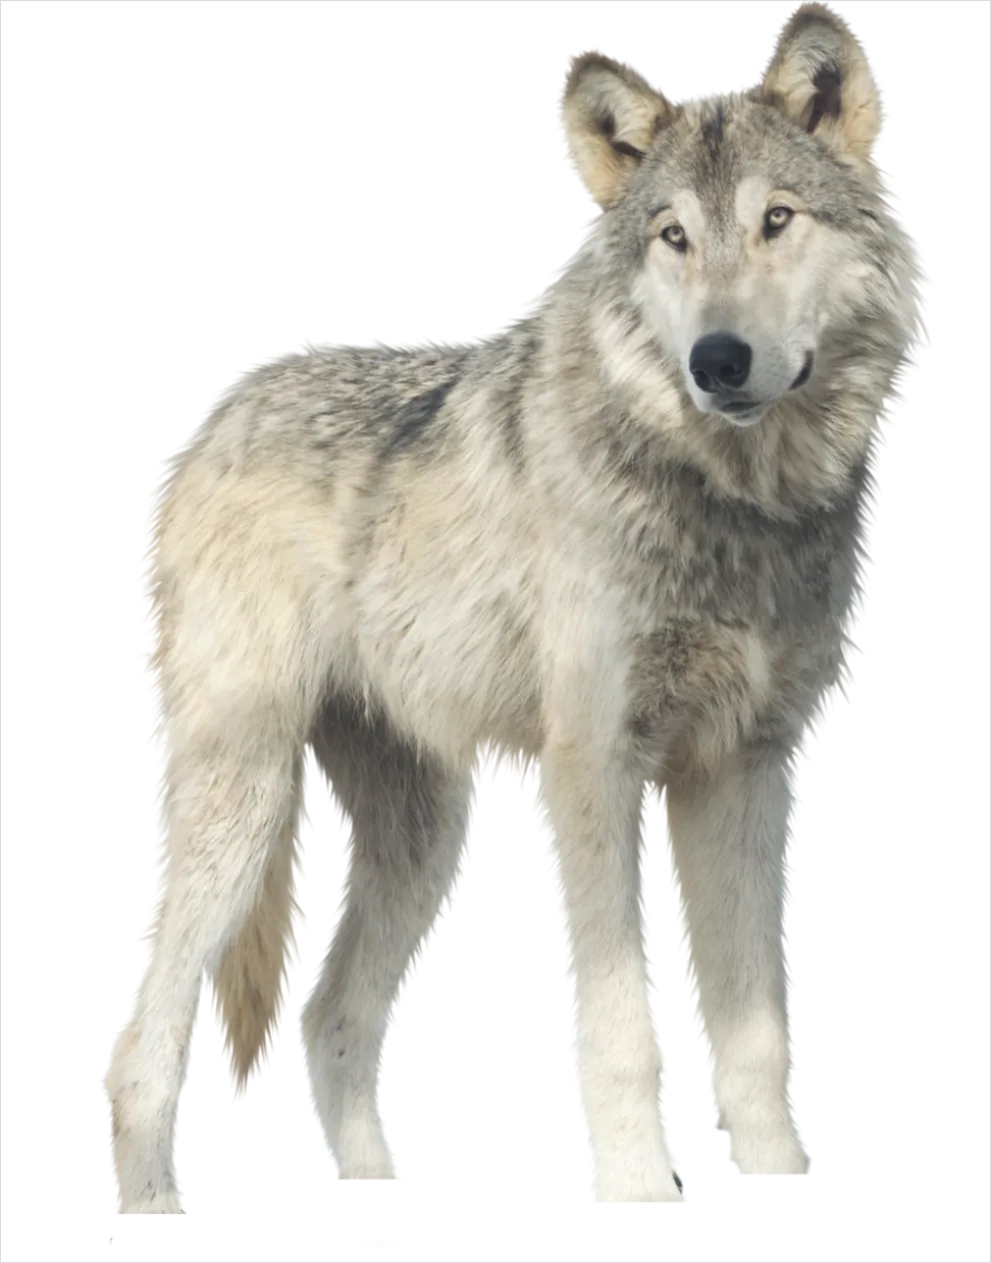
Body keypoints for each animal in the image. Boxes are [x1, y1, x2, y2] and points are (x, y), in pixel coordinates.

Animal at [108, 3, 932, 1211]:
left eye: (775, 221)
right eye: (673, 237)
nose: (717, 359)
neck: (731, 503)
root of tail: (208, 416)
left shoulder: (745, 780)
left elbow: (754, 1038)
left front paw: (778, 1183)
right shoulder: (591, 776)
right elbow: (625, 1030)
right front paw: (641, 1196)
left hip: (421, 843)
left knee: (329, 1017)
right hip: (242, 807)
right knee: (144, 1041)